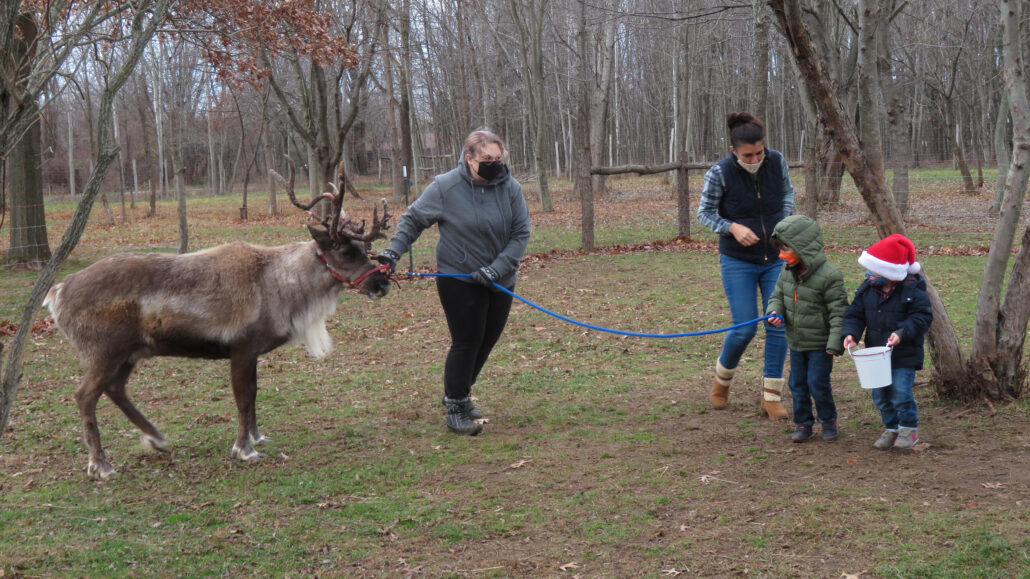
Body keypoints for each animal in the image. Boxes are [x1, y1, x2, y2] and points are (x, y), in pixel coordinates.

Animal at [43, 159, 392, 479]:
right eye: (345, 252)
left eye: (366, 248)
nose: (383, 283)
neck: (281, 286)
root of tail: (57, 293)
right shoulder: (241, 348)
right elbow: (243, 399)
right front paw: (244, 449)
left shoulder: (252, 352)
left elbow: (254, 394)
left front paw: (257, 437)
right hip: (103, 351)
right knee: (85, 395)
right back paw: (100, 464)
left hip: (130, 352)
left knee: (115, 389)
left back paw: (158, 440)